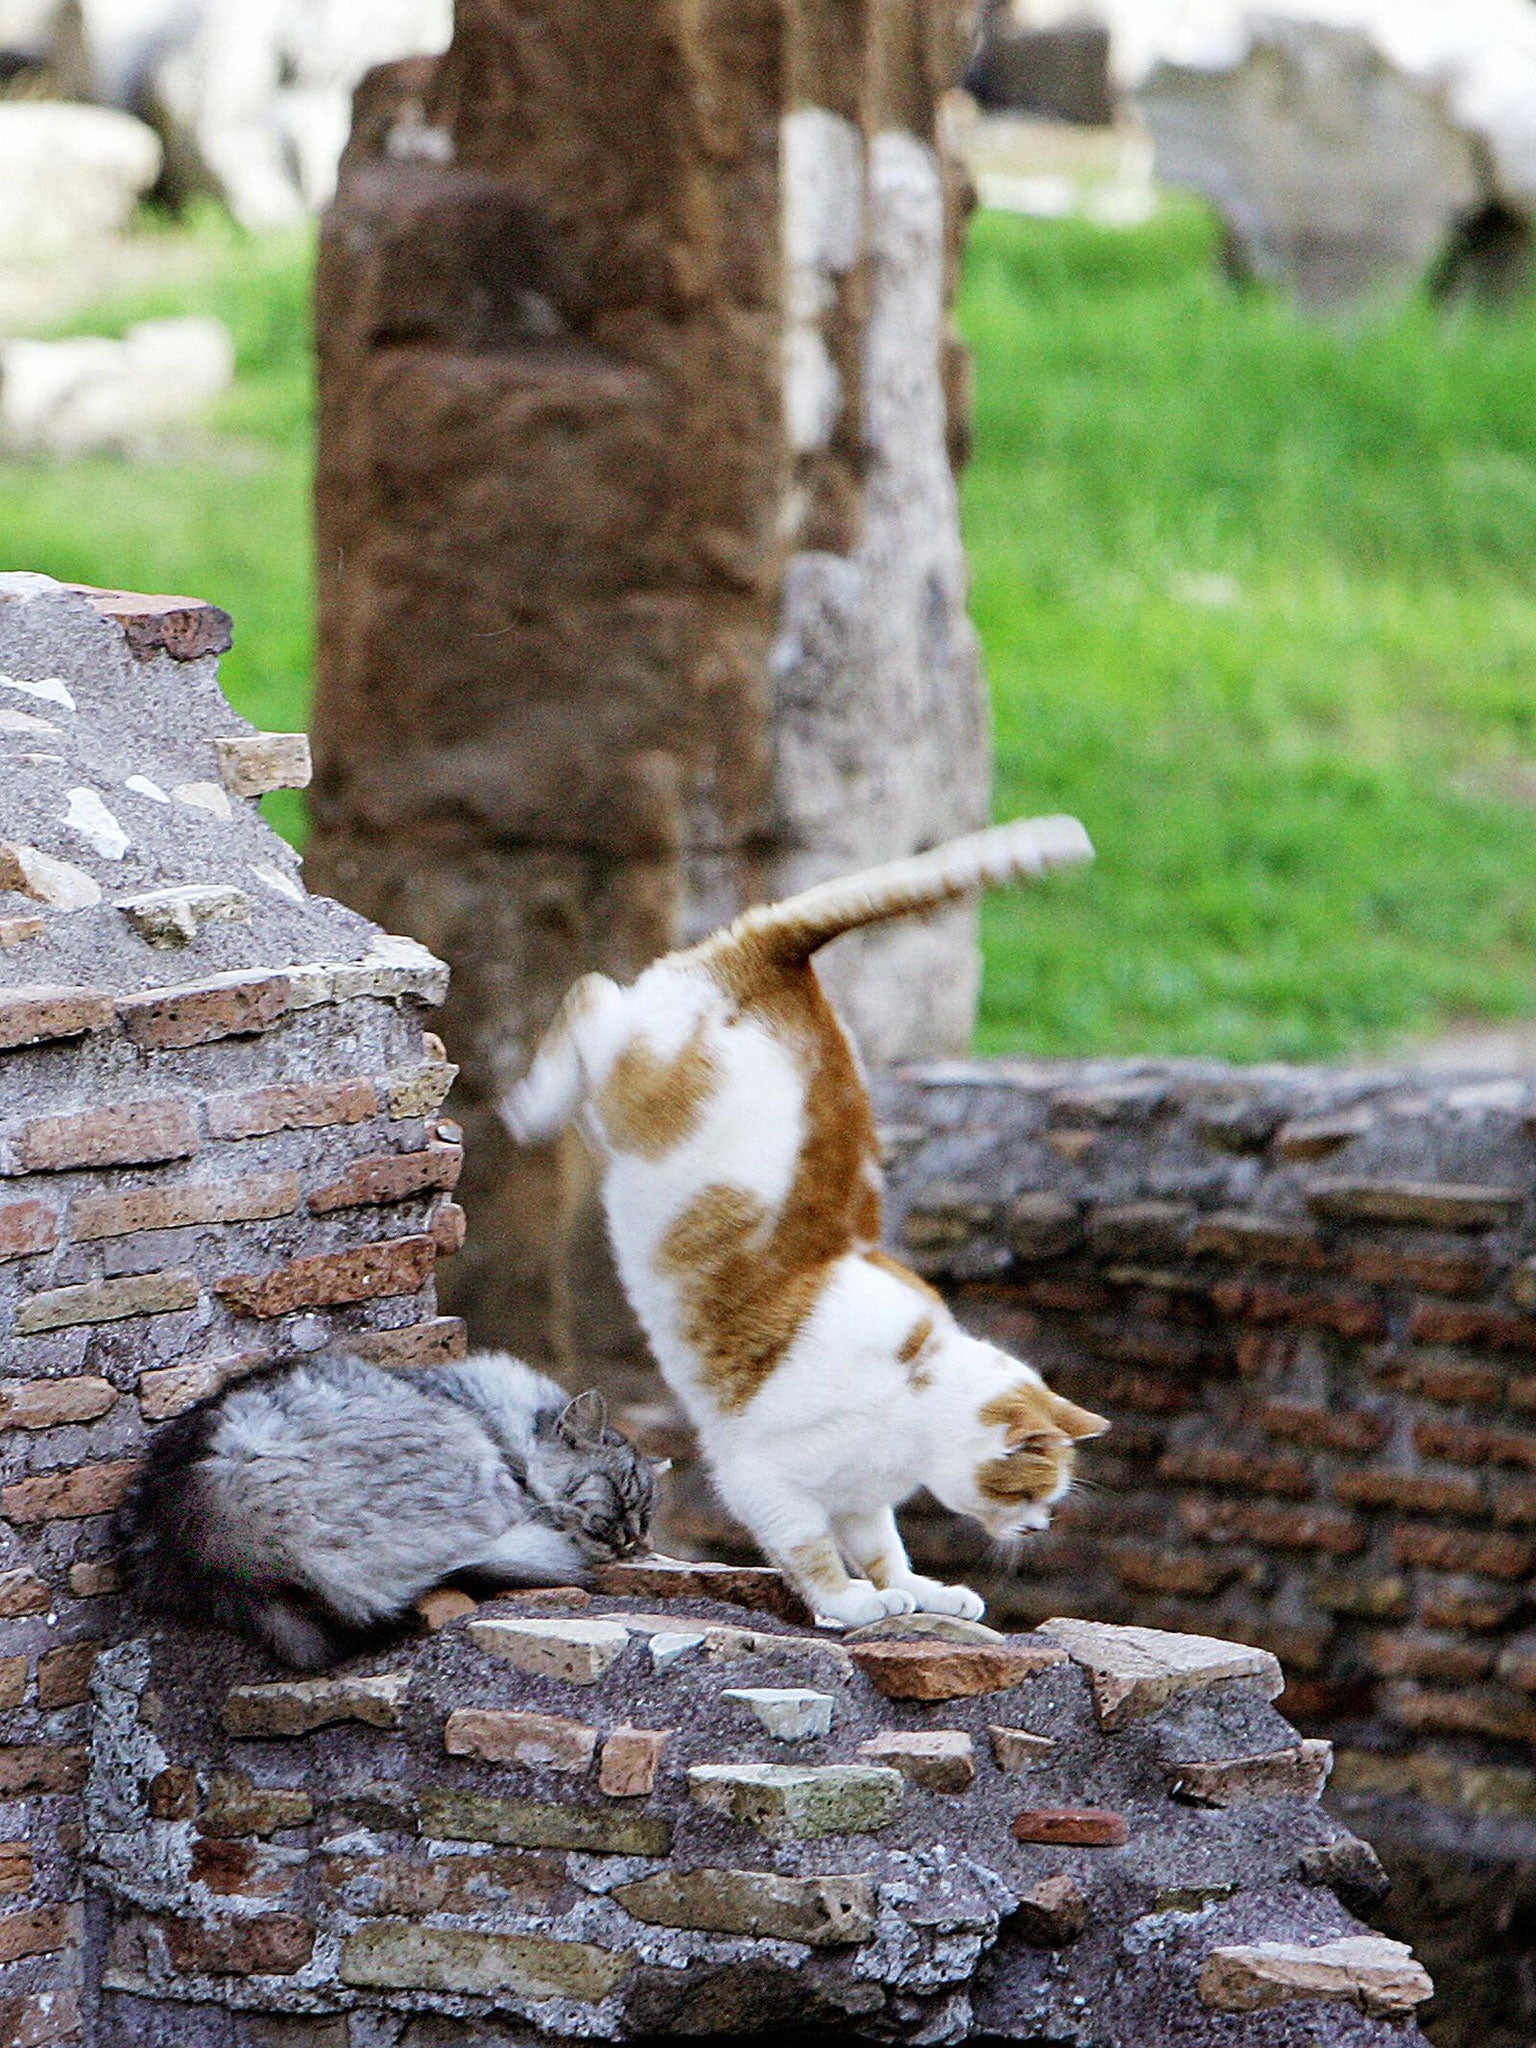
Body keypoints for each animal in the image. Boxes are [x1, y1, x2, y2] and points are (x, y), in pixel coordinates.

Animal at [512, 815, 1114, 1630]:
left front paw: (921, 1592)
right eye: (1033, 1490)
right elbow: (812, 1551)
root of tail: (784, 961)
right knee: (589, 993)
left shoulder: (862, 1499)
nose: (1042, 1526)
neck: (918, 1396)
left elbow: (885, 1547)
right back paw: (532, 1102)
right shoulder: (763, 1479)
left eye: (1053, 1500)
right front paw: (850, 1605)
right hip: (629, 1066)